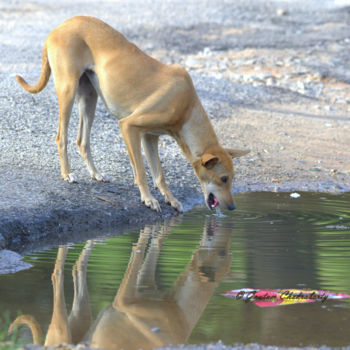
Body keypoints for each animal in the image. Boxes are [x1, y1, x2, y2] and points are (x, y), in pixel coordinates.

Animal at [17, 16, 249, 212]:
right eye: (224, 178)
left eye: (231, 178)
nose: (232, 208)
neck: (186, 108)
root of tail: (59, 26)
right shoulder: (129, 126)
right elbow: (141, 171)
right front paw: (149, 199)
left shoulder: (150, 137)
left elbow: (159, 174)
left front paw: (170, 199)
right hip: (67, 91)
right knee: (61, 137)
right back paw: (67, 174)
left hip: (89, 98)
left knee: (82, 140)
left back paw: (96, 174)